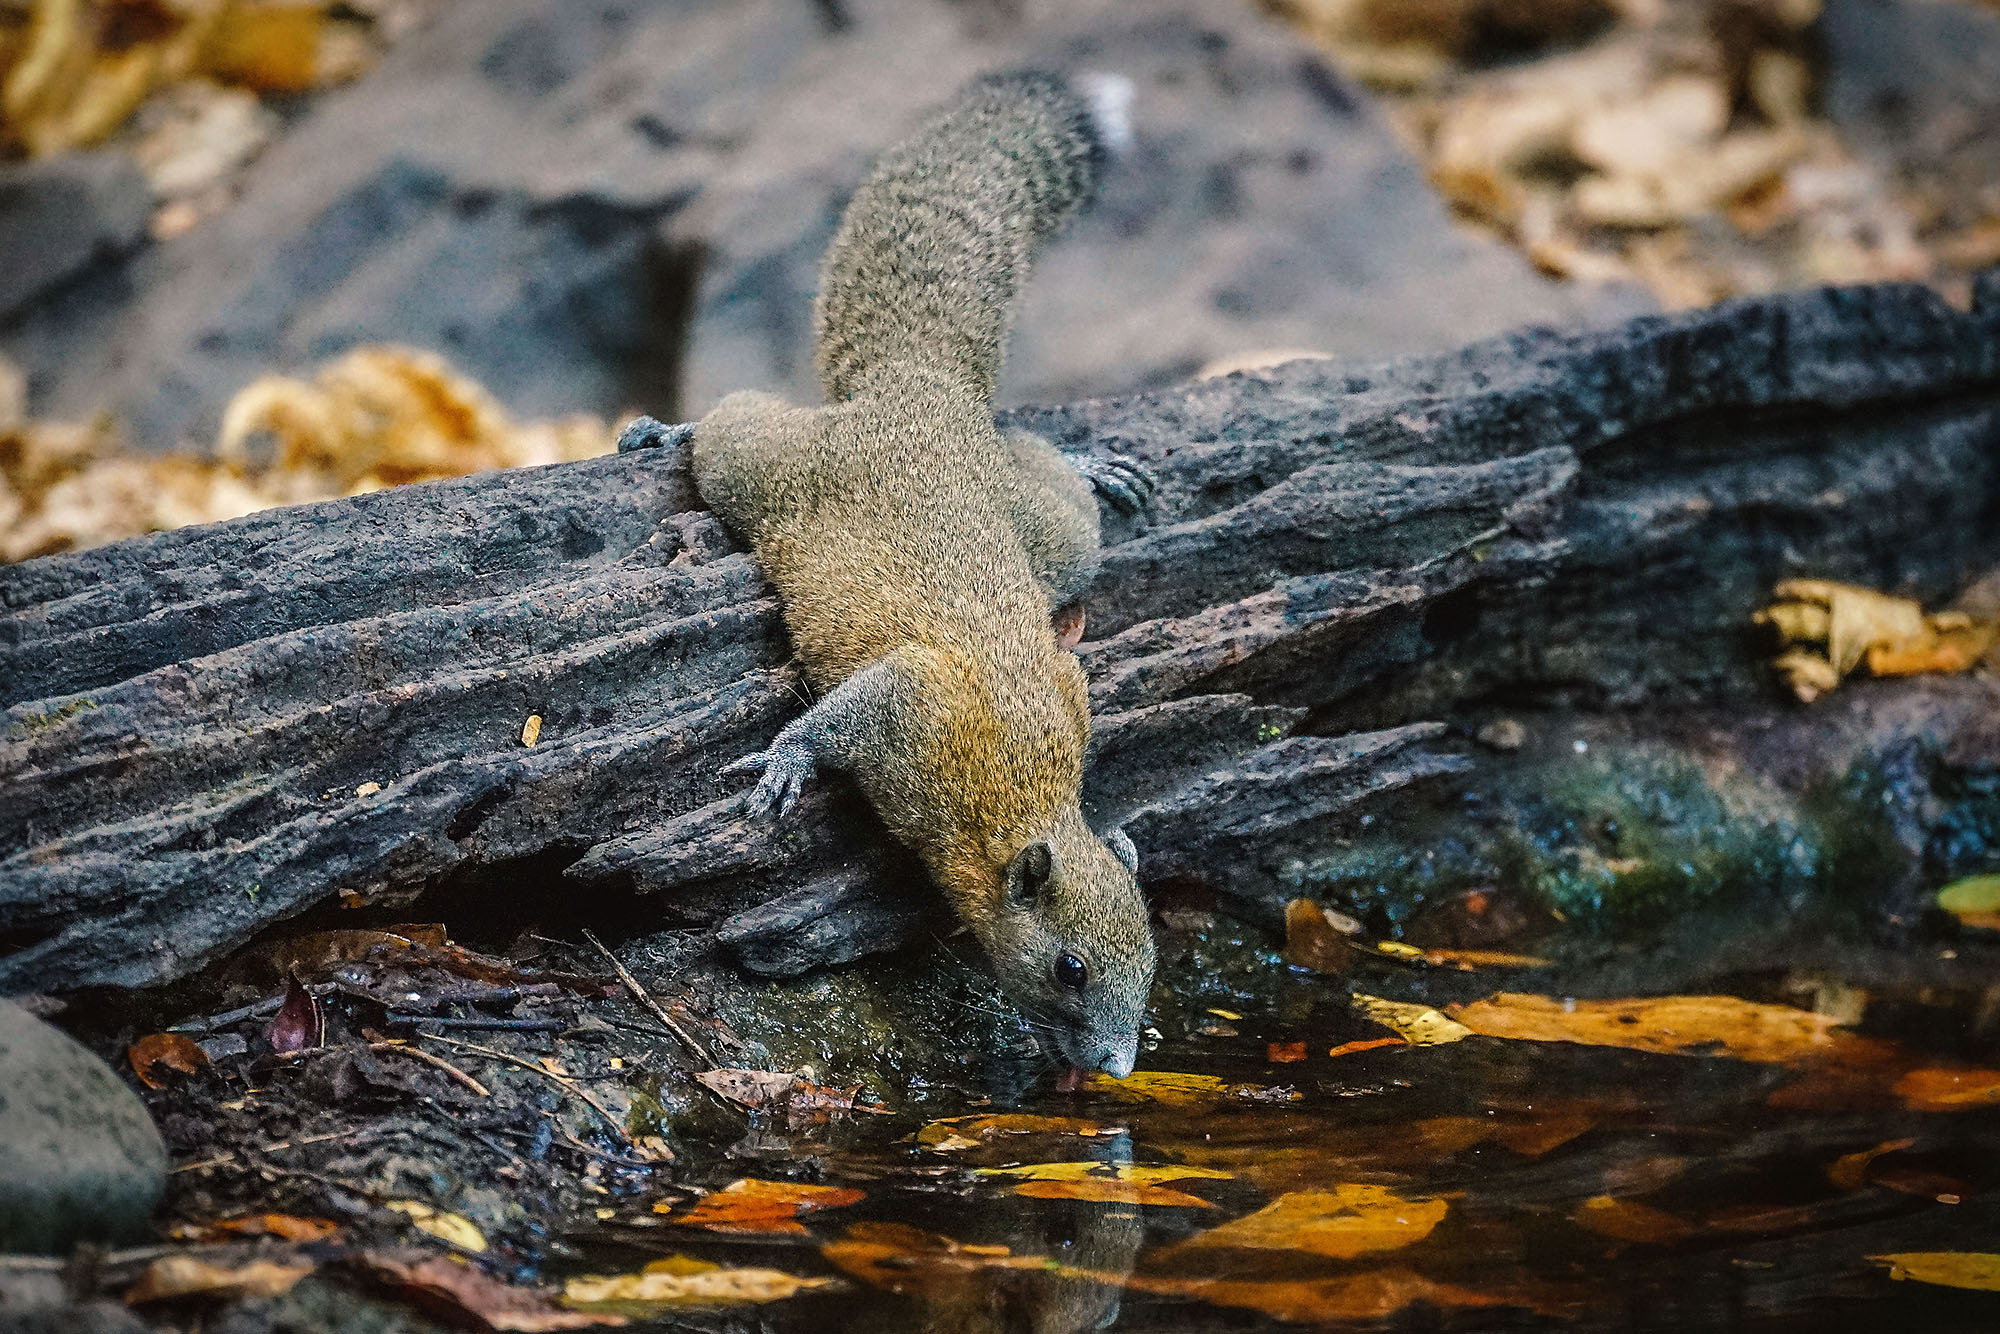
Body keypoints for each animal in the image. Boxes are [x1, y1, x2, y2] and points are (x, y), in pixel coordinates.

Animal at [620, 71, 1156, 1082]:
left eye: (1151, 962)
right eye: (1069, 967)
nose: (1111, 1066)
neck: (1015, 797)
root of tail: (921, 389)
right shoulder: (917, 710)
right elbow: (846, 711)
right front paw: (786, 763)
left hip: (1055, 538)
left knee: (1051, 486)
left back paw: (1091, 462)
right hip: (769, 471)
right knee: (730, 426)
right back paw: (665, 431)